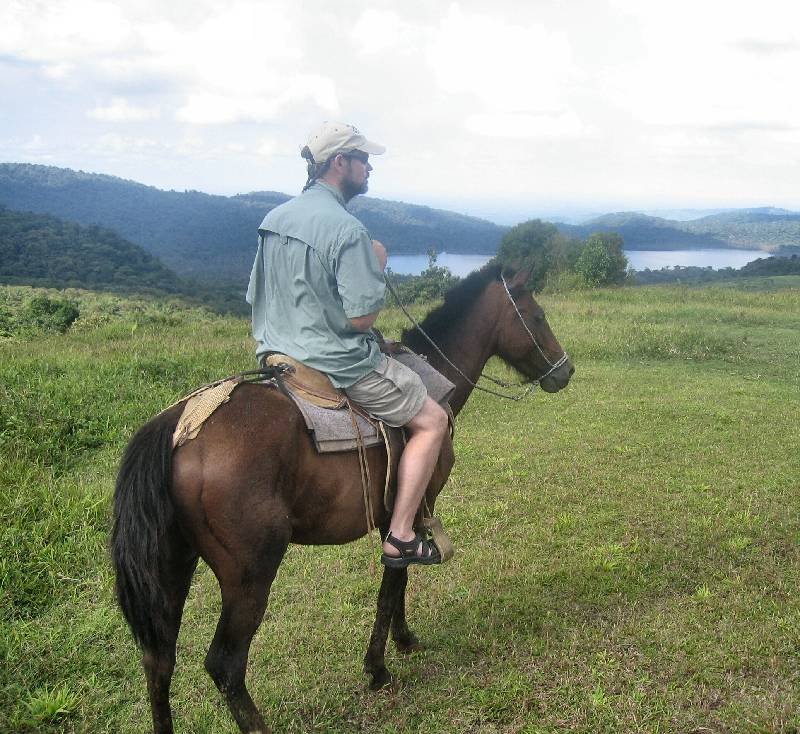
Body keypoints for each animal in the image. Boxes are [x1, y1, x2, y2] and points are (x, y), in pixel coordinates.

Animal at [114, 264, 576, 734]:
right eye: (537, 317)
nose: (566, 371)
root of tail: (180, 426)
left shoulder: (397, 517)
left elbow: (400, 580)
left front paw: (404, 640)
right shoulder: (406, 515)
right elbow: (392, 584)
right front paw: (378, 668)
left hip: (173, 566)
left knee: (159, 661)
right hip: (250, 574)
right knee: (225, 664)